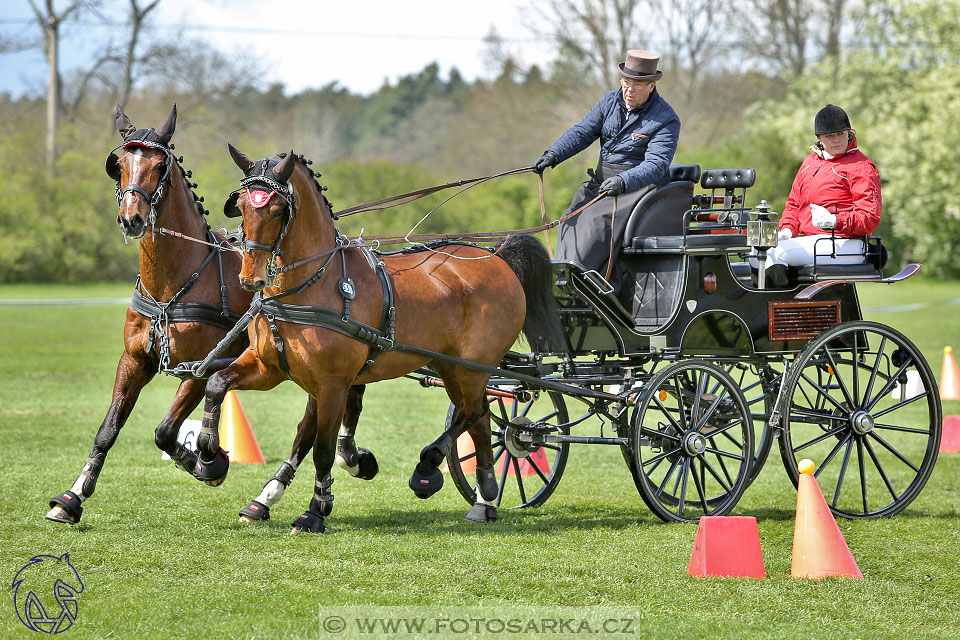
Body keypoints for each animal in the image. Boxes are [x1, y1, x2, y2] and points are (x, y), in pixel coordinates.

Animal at [47, 106, 378, 524]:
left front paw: (209, 462)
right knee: (329, 412)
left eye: (159, 166)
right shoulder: (134, 360)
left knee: (319, 420)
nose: (132, 218)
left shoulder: (202, 366)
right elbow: (109, 429)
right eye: (119, 164)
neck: (173, 284)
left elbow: (165, 430)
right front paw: (73, 495)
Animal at [199, 148, 564, 532]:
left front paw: (316, 510)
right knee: (478, 419)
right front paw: (216, 462)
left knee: (474, 411)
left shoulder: (333, 383)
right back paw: (485, 500)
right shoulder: (271, 368)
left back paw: (431, 467)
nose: (249, 278)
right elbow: (222, 386)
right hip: (452, 367)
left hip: (474, 367)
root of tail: (496, 256)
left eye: (277, 209)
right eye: (241, 205)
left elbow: (322, 448)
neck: (311, 285)